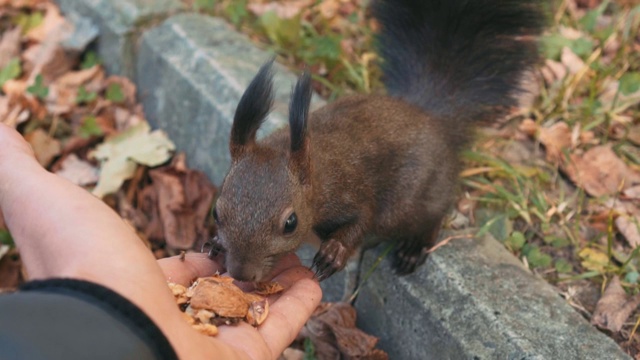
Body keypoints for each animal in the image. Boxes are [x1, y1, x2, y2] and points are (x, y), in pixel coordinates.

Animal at [211, 0, 544, 282]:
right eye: (216, 211)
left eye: (290, 223)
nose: (242, 274)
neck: (314, 173)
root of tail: (432, 116)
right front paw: (214, 243)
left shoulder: (351, 191)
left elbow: (363, 220)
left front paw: (334, 253)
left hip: (414, 200)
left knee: (433, 216)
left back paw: (413, 249)